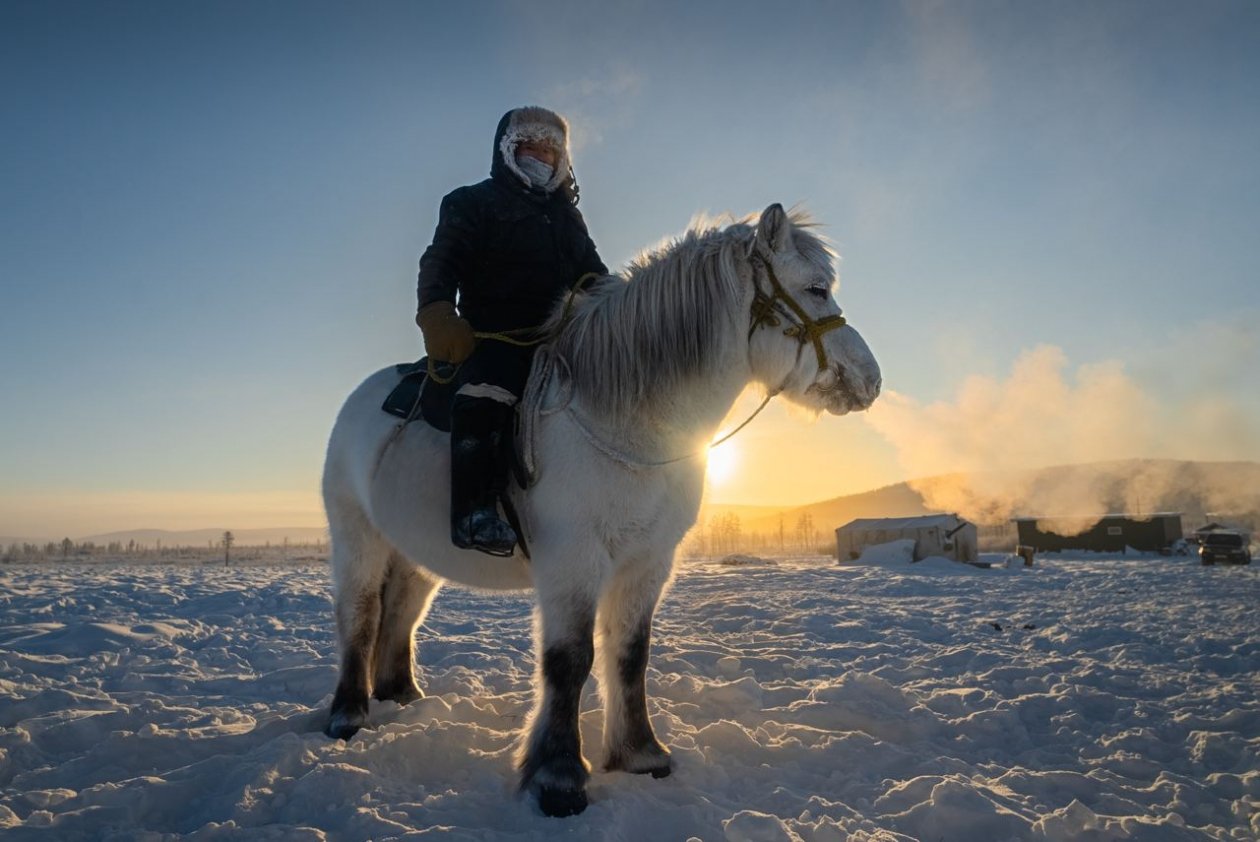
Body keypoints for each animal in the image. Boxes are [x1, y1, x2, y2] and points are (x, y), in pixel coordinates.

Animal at [320, 204, 882, 816]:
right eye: (817, 288)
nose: (870, 379)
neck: (624, 421)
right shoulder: (574, 560)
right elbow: (569, 661)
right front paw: (559, 777)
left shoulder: (648, 561)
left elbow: (630, 654)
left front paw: (640, 754)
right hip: (357, 537)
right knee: (361, 613)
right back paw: (348, 714)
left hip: (415, 553)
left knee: (401, 610)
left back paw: (401, 695)